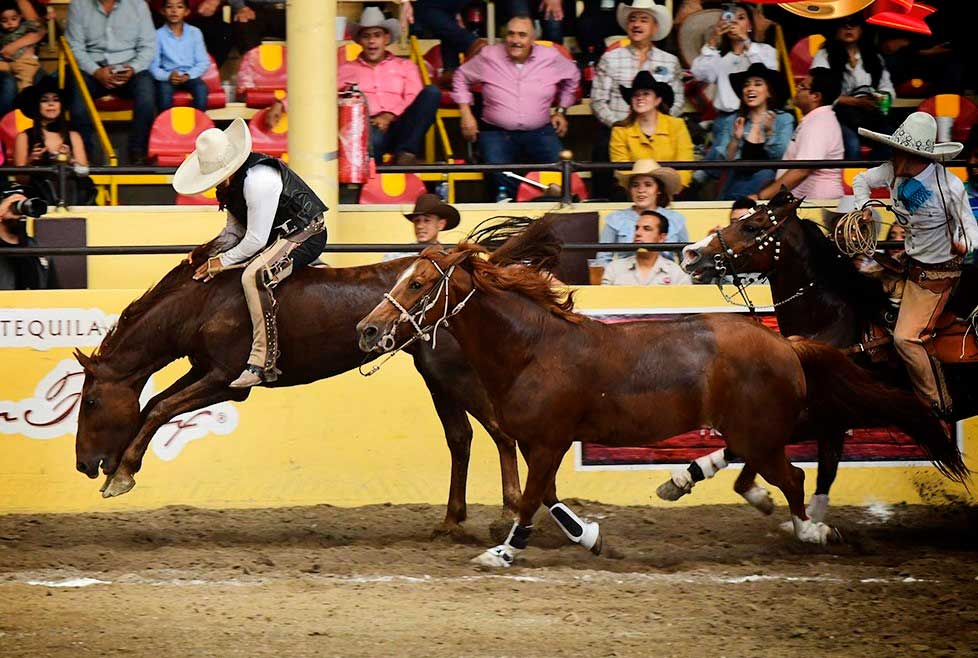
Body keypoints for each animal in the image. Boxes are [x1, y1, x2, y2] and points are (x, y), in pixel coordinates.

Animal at [72, 217, 552, 532]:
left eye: (91, 401)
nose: (83, 464)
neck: (204, 304)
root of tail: (462, 272)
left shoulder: (227, 380)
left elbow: (160, 409)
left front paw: (122, 475)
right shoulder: (202, 370)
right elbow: (154, 404)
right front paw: (120, 468)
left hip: (454, 373)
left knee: (498, 431)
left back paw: (511, 513)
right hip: (436, 374)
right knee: (461, 437)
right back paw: (452, 521)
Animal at [354, 219, 964, 564]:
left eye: (418, 282)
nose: (367, 329)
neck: (533, 348)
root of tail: (786, 344)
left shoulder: (549, 440)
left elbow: (530, 499)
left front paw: (503, 552)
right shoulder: (537, 441)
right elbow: (547, 497)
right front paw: (591, 538)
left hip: (763, 430)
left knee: (792, 476)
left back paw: (813, 531)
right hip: (758, 429)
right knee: (774, 472)